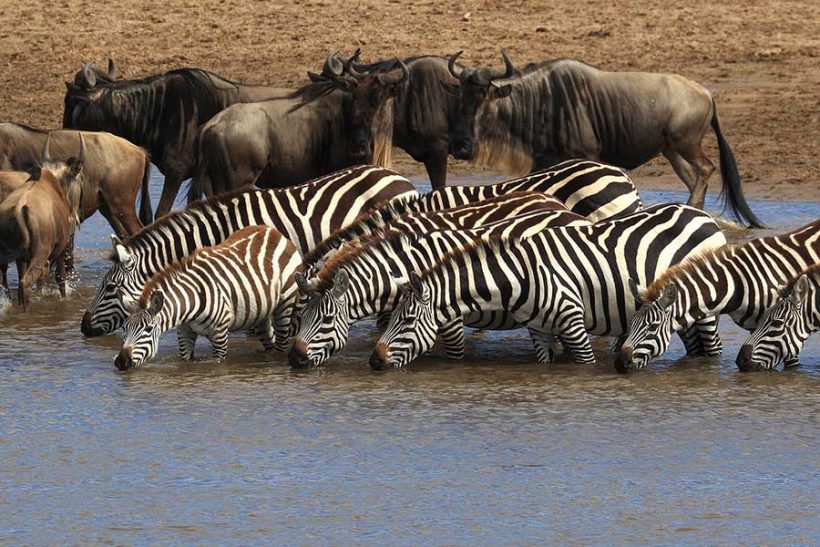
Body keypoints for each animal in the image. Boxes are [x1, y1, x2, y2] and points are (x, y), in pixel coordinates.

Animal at [111, 225, 298, 370]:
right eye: (124, 328)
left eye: (148, 329)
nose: (121, 361)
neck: (189, 303)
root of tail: (272, 231)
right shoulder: (184, 332)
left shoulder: (220, 335)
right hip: (260, 313)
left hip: (286, 304)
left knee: (281, 344)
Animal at [370, 204, 724, 368]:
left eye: (407, 320)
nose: (374, 362)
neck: (520, 276)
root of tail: (702, 214)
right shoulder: (539, 328)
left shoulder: (572, 323)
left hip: (706, 310)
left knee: (714, 350)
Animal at [620, 218, 816, 372]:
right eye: (632, 323)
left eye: (652, 327)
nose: (619, 363)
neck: (737, 283)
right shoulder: (758, 328)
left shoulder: (786, 327)